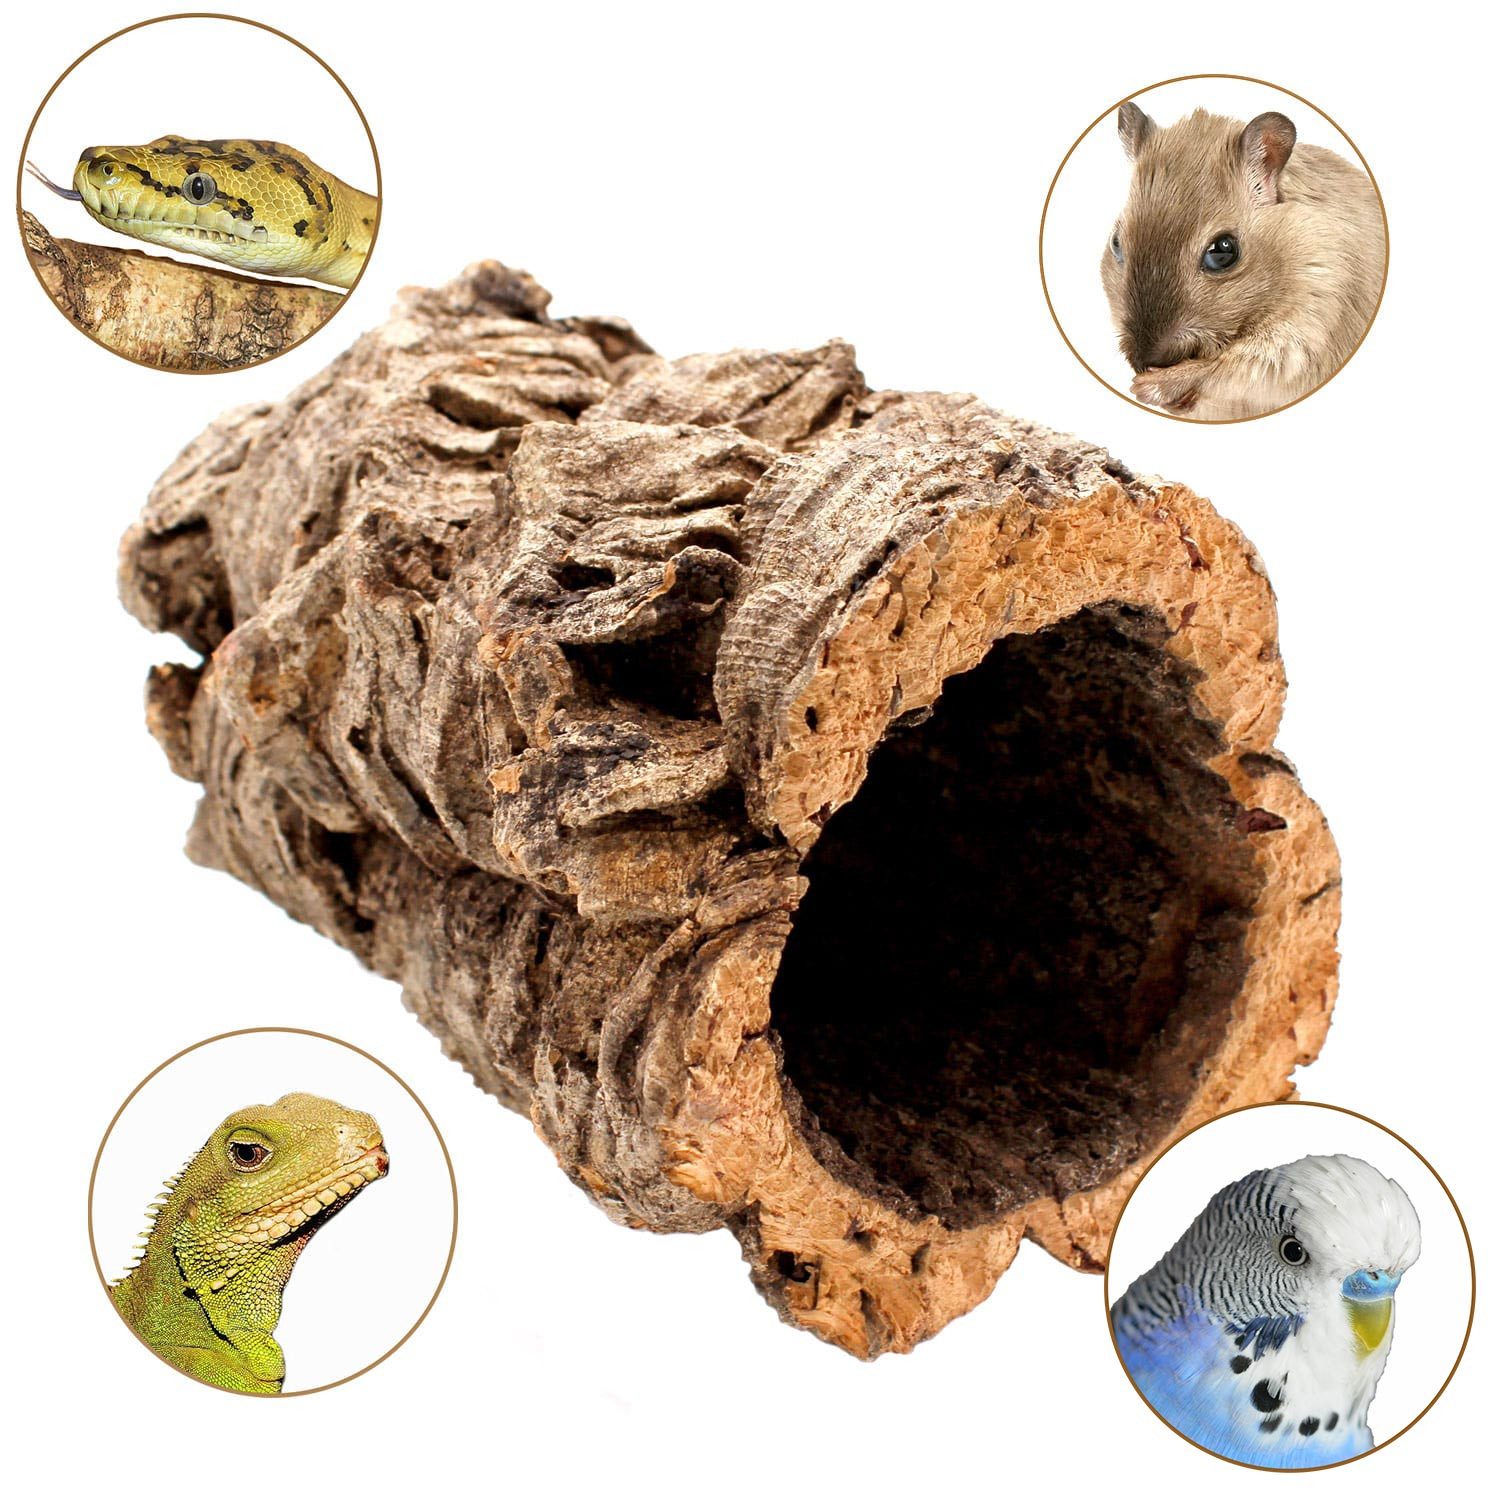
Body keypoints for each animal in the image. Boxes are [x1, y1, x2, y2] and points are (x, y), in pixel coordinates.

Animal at [1101, 103, 1384, 420]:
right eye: (1116, 243)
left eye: (1223, 251)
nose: (1142, 363)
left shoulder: (1312, 321)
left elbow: (1235, 366)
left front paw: (1150, 386)